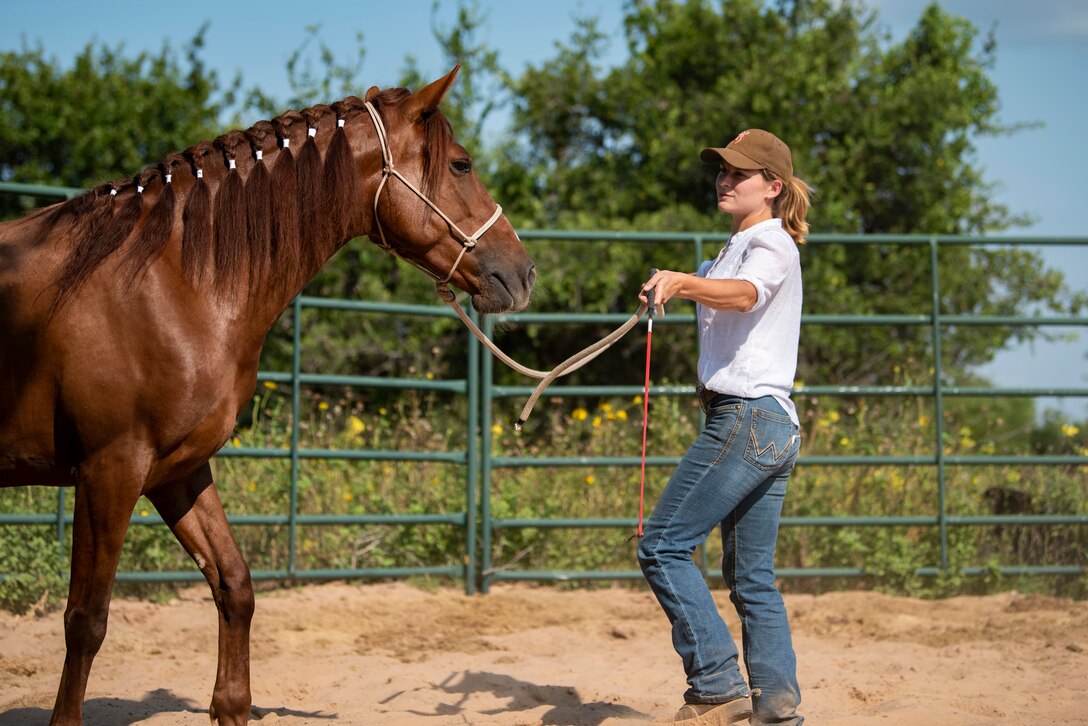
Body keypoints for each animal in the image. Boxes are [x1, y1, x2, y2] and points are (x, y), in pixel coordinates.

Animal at [0, 66, 535, 725]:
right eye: (461, 164)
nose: (523, 272)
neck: (166, 283)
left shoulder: (175, 471)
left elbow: (235, 584)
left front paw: (232, 705)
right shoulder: (109, 471)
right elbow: (85, 621)